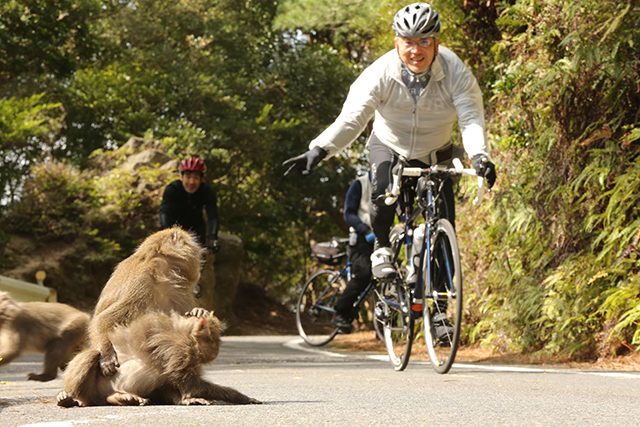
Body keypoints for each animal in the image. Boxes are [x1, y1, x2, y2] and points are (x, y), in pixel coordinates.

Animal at [56, 310, 262, 408]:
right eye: (214, 338)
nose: (218, 350)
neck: (186, 335)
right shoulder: (178, 349)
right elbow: (190, 383)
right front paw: (240, 397)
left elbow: (174, 381)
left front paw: (186, 400)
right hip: (89, 391)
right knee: (92, 355)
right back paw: (72, 399)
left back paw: (119, 397)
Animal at [87, 226, 208, 376]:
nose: (199, 270)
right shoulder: (140, 284)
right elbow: (103, 319)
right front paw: (107, 357)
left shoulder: (177, 291)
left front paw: (198, 312)